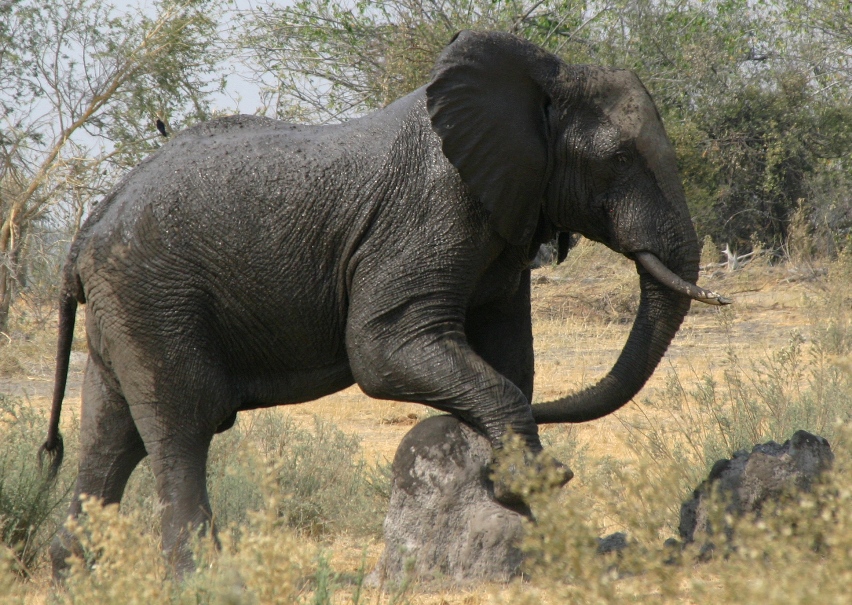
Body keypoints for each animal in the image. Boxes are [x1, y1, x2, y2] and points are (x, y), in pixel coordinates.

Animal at [40, 30, 729, 576]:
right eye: (617, 158)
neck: (539, 79)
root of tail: (82, 239)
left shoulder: (502, 224)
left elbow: (511, 361)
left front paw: (508, 485)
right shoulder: (430, 211)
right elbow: (381, 351)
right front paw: (528, 485)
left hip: (126, 304)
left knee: (111, 432)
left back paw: (75, 573)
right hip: (154, 292)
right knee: (183, 421)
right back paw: (203, 577)